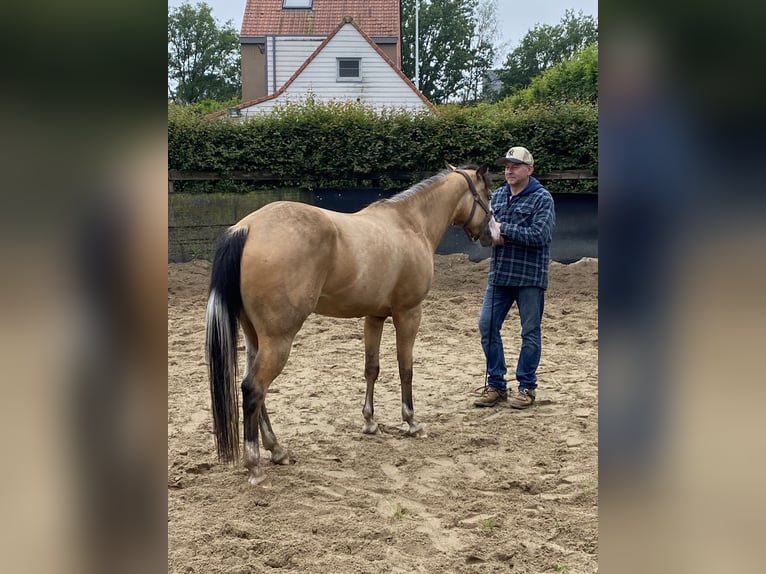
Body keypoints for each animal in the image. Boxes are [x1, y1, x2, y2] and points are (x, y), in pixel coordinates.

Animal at [206, 163, 492, 486]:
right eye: (488, 195)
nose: (492, 234)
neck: (410, 223)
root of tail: (247, 228)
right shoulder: (409, 313)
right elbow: (406, 369)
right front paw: (412, 422)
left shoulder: (375, 316)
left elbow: (372, 368)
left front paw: (370, 422)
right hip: (278, 340)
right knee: (254, 389)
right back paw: (255, 465)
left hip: (255, 336)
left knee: (256, 389)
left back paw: (277, 450)